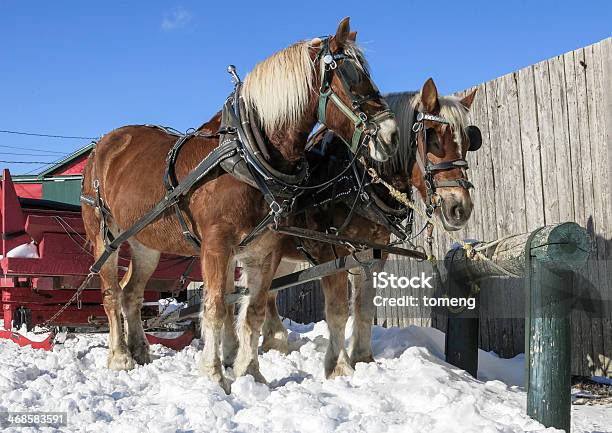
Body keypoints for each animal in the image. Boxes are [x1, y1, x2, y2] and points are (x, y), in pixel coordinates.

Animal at [81, 17, 400, 392]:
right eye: (351, 75)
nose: (392, 135)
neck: (250, 156)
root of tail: (104, 145)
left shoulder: (265, 248)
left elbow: (254, 310)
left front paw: (250, 373)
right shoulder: (217, 244)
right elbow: (217, 306)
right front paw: (214, 374)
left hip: (146, 243)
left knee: (132, 292)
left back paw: (141, 350)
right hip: (106, 237)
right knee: (111, 293)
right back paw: (120, 356)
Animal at [256, 78, 478, 378]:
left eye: (467, 141)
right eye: (431, 136)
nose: (460, 208)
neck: (357, 180)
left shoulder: (374, 253)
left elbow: (364, 306)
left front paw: (363, 359)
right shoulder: (331, 253)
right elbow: (338, 310)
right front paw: (339, 367)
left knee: (269, 292)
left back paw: (275, 342)